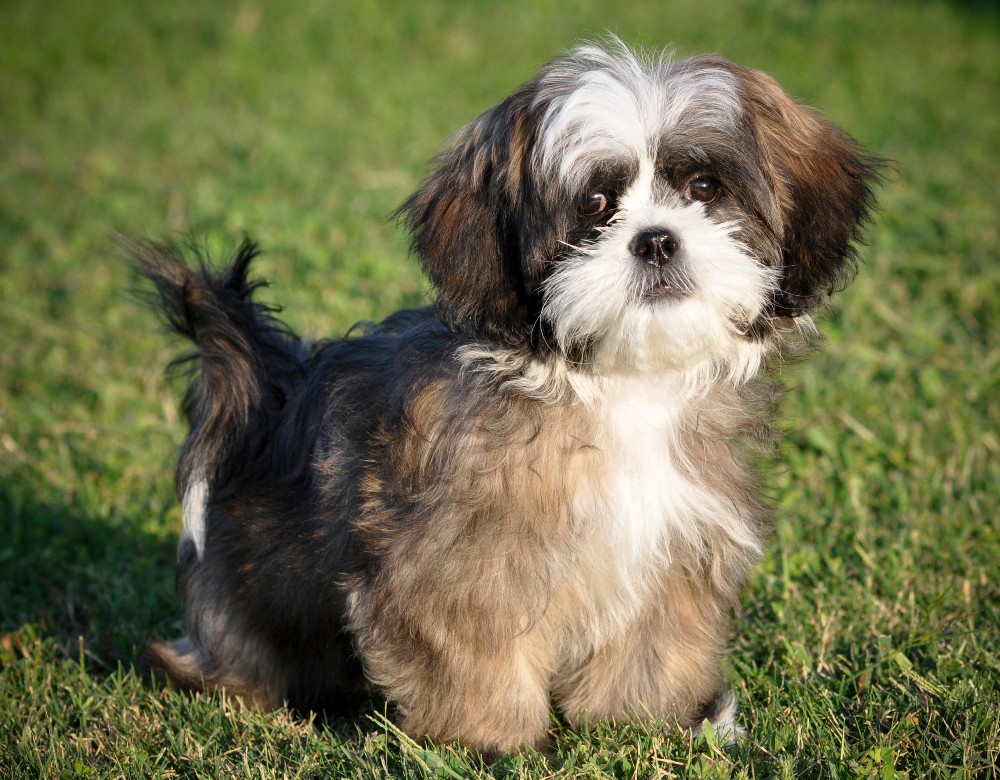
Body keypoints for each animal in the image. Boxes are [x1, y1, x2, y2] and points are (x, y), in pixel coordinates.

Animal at [131, 38, 876, 756]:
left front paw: (643, 726)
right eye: (595, 206)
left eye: (703, 186)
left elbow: (652, 645)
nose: (656, 241)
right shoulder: (454, 561)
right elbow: (473, 650)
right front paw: (492, 743)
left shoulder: (676, 547)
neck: (617, 383)